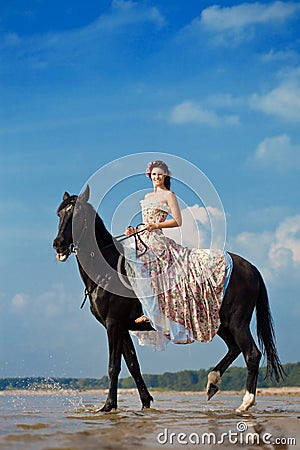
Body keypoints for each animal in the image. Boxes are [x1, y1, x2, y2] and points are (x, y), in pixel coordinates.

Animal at [52, 185, 284, 412]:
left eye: (77, 213)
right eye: (59, 213)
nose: (58, 244)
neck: (107, 269)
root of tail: (251, 268)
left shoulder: (113, 324)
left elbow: (114, 366)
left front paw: (108, 406)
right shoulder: (122, 327)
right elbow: (133, 365)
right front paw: (145, 403)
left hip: (238, 322)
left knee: (252, 354)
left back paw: (245, 403)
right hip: (220, 323)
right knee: (234, 349)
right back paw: (212, 383)